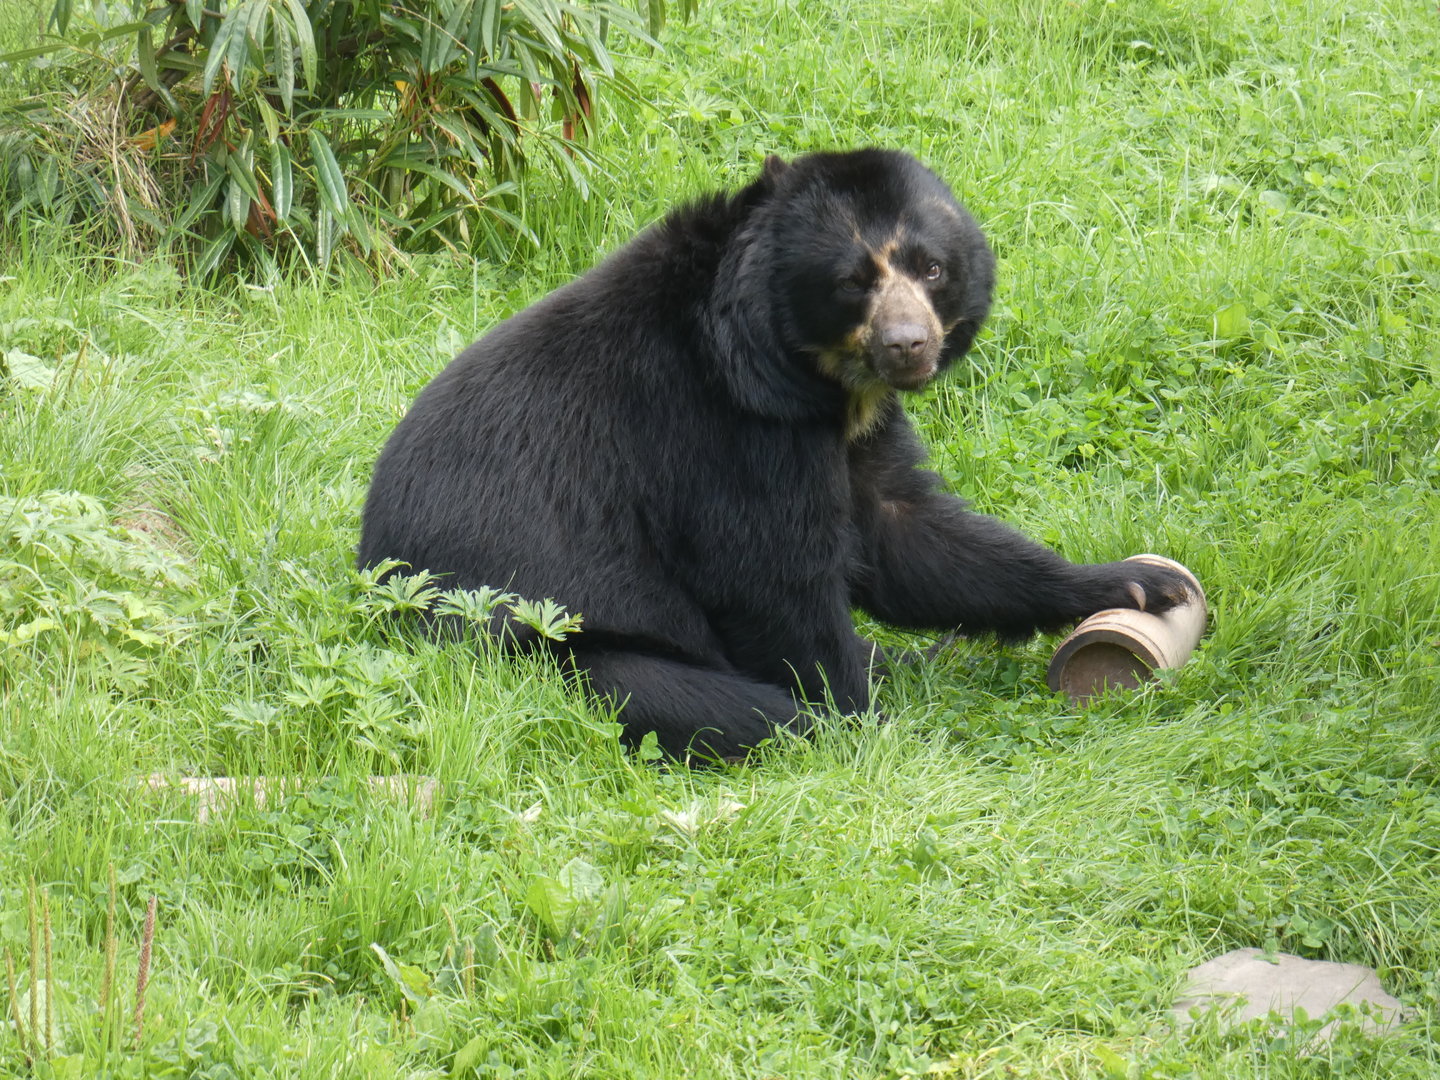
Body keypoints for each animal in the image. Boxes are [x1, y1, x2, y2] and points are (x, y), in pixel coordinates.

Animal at [359, 149, 1192, 759]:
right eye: (853, 280)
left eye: (931, 268)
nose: (908, 346)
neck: (807, 379)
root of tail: (377, 585)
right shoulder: (721, 433)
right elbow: (771, 579)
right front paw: (866, 721)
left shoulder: (851, 432)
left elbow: (909, 536)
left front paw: (1144, 583)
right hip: (539, 638)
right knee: (689, 697)